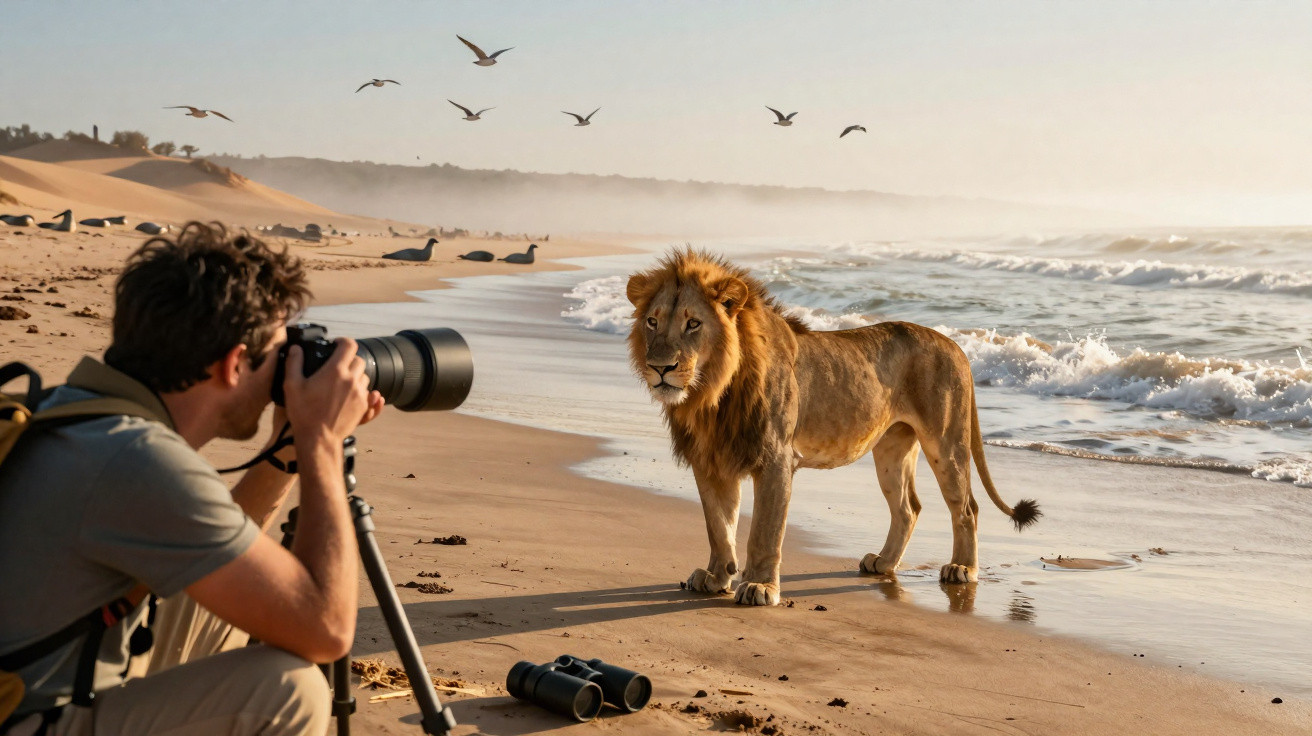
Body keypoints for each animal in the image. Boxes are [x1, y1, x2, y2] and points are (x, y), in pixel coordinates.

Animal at [625, 248, 1040, 606]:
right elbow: (718, 525)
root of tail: (957, 346)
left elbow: (764, 531)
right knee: (908, 508)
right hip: (891, 450)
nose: (660, 367)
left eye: (693, 324)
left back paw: (962, 568)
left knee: (966, 507)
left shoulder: (776, 458)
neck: (710, 395)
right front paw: (716, 577)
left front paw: (759, 586)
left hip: (946, 442)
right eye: (652, 322)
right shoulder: (710, 460)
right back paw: (884, 563)